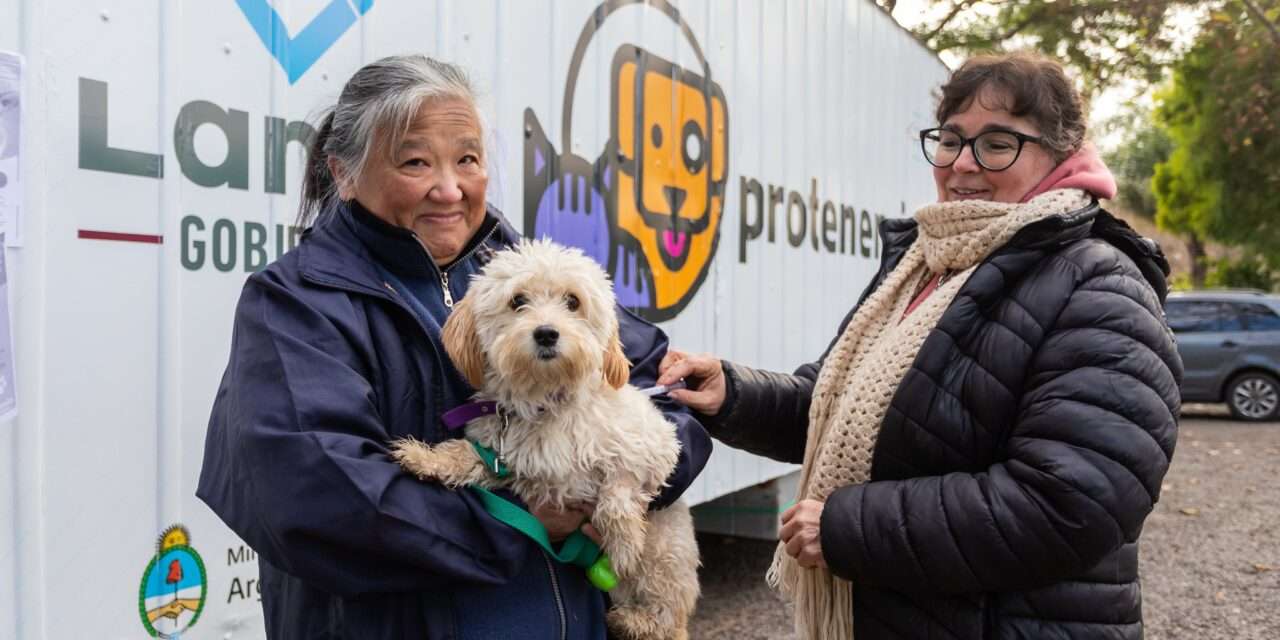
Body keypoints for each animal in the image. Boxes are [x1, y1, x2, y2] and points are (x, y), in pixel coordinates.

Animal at [391, 240, 701, 640]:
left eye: (573, 301)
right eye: (517, 300)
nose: (546, 333)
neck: (544, 403)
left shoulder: (655, 447)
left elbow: (617, 492)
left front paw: (623, 542)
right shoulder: (502, 458)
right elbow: (463, 455)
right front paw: (423, 458)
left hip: (666, 557)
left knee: (665, 615)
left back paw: (634, 618)